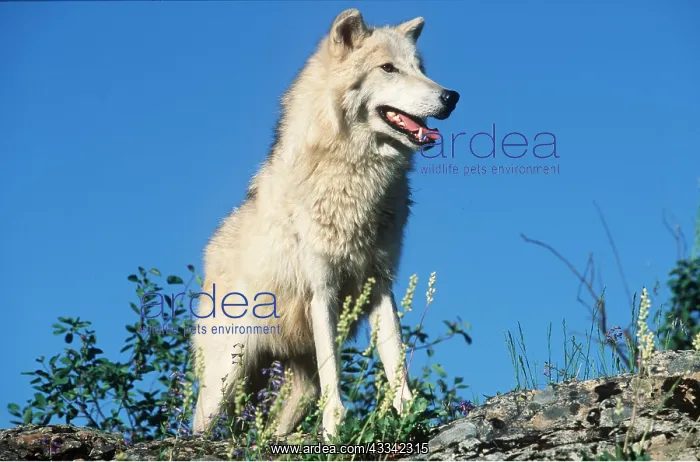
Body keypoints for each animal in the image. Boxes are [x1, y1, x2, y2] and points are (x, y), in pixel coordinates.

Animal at [191, 8, 460, 439]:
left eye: (421, 69)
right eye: (388, 68)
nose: (451, 96)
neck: (355, 176)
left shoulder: (380, 288)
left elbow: (396, 363)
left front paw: (409, 418)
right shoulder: (323, 291)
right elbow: (335, 374)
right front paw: (335, 430)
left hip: (293, 387)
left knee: (271, 430)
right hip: (225, 379)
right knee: (195, 428)